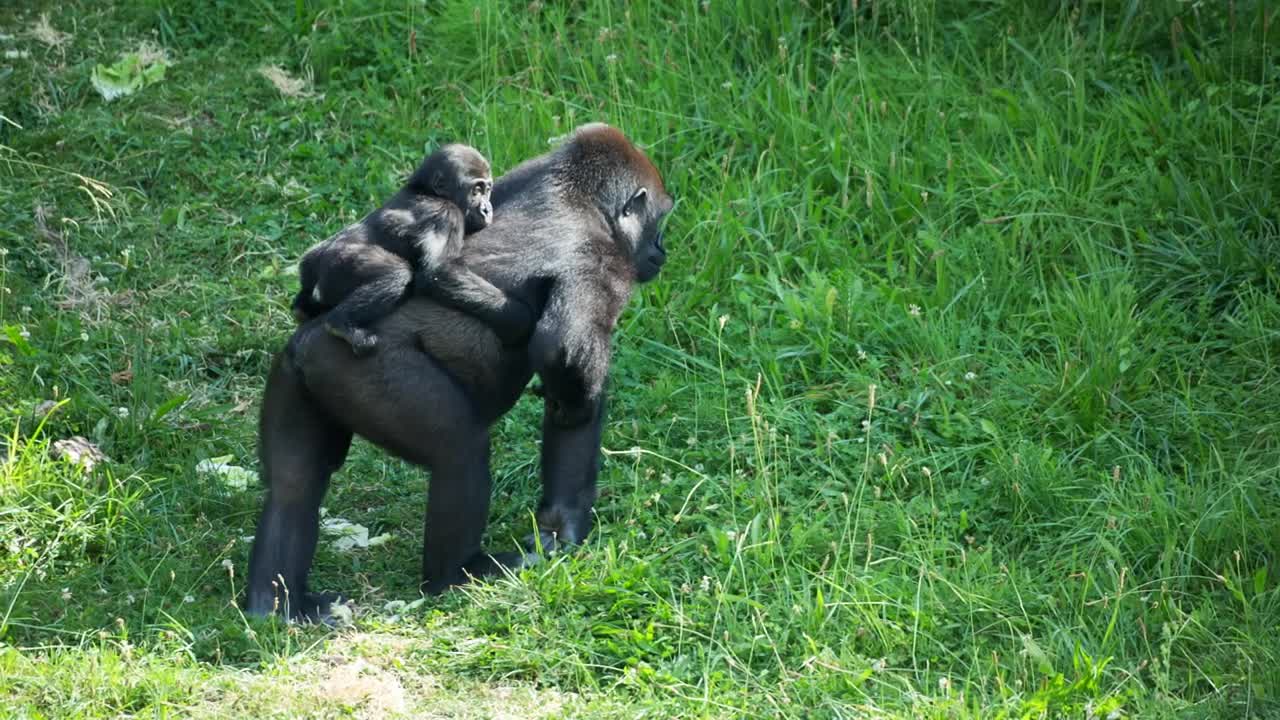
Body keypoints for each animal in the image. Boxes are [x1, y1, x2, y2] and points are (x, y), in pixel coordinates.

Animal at [290, 143, 534, 355]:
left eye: (488, 189)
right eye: (476, 190)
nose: (486, 209)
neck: (427, 190)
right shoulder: (444, 213)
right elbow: (438, 270)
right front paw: (516, 316)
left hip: (311, 263)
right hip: (337, 263)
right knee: (395, 275)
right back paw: (342, 325)